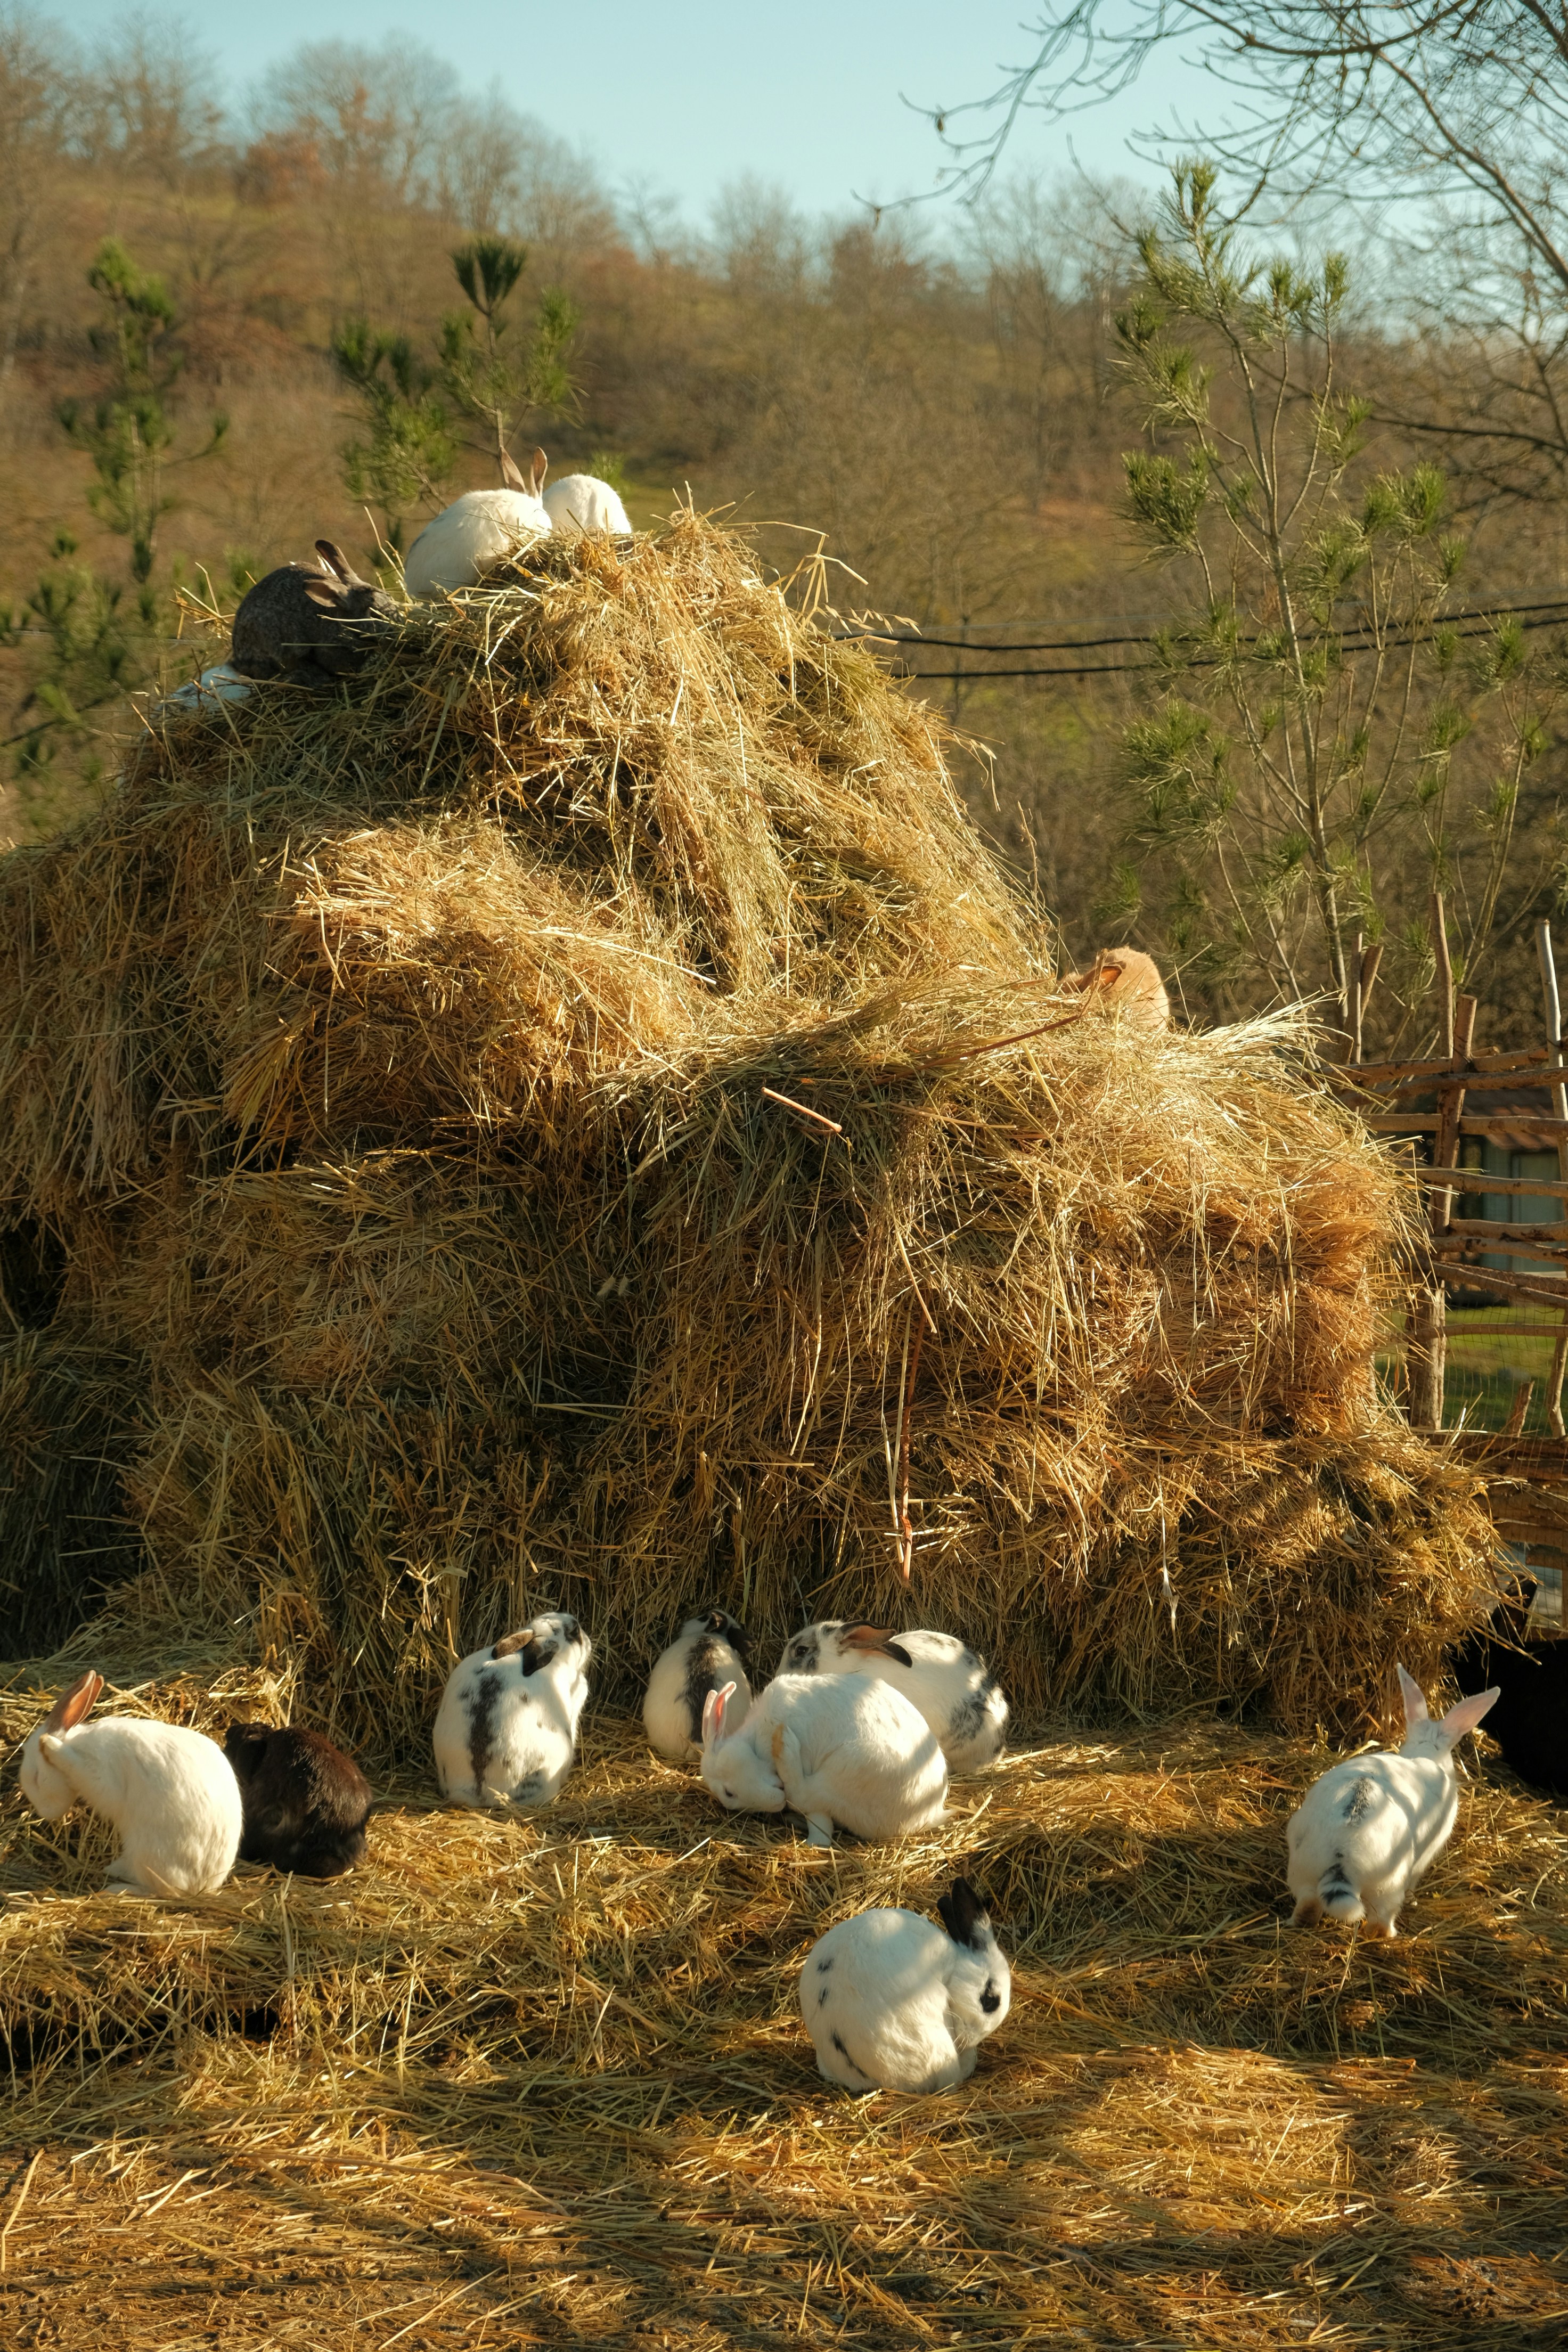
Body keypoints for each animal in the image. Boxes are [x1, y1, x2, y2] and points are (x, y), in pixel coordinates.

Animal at [18, 1670, 242, 1898]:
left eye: (36, 1776)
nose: (45, 1813)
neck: (75, 1744)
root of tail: (205, 1885)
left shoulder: (101, 1774)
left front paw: (49, 1745)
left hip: (149, 1855)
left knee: (161, 1890)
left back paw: (116, 1889)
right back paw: (113, 1869)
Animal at [699, 1670, 946, 1847]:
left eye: (729, 1793)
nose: (775, 1801)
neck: (755, 1746)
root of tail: (929, 1813)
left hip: (847, 1770)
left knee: (803, 1795)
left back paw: (785, 1744)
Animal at [1286, 1663, 1500, 1937]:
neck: (1426, 1753)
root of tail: (1341, 1852)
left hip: (1303, 1873)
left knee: (1307, 1907)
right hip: (1388, 1886)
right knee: (1379, 1922)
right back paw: (1390, 1934)